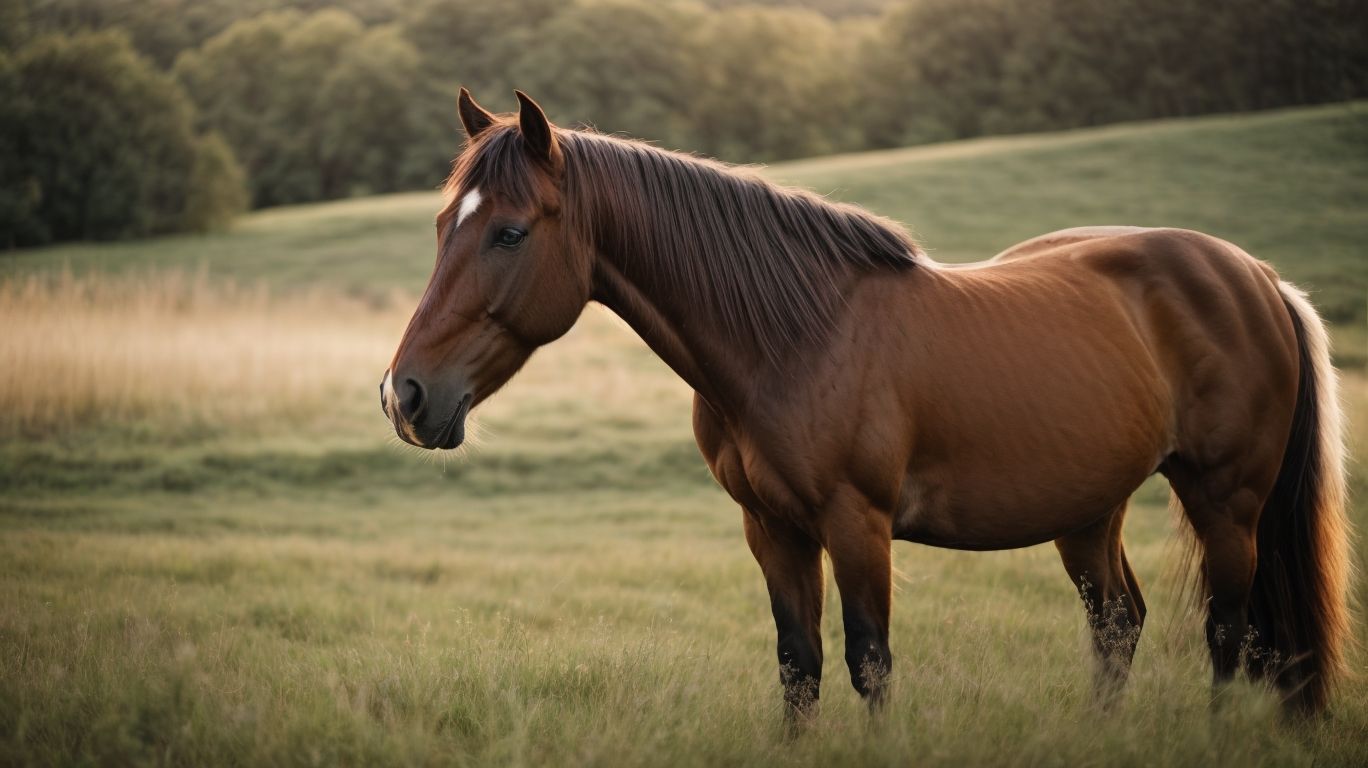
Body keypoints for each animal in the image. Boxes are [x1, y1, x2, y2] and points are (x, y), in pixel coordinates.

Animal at [382, 89, 1351, 723]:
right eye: (440, 228)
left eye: (510, 232)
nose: (405, 394)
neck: (793, 336)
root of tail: (1256, 277)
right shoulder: (772, 529)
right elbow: (798, 667)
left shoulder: (857, 525)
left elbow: (869, 665)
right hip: (1089, 511)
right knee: (1119, 624)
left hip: (1224, 502)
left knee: (1231, 636)